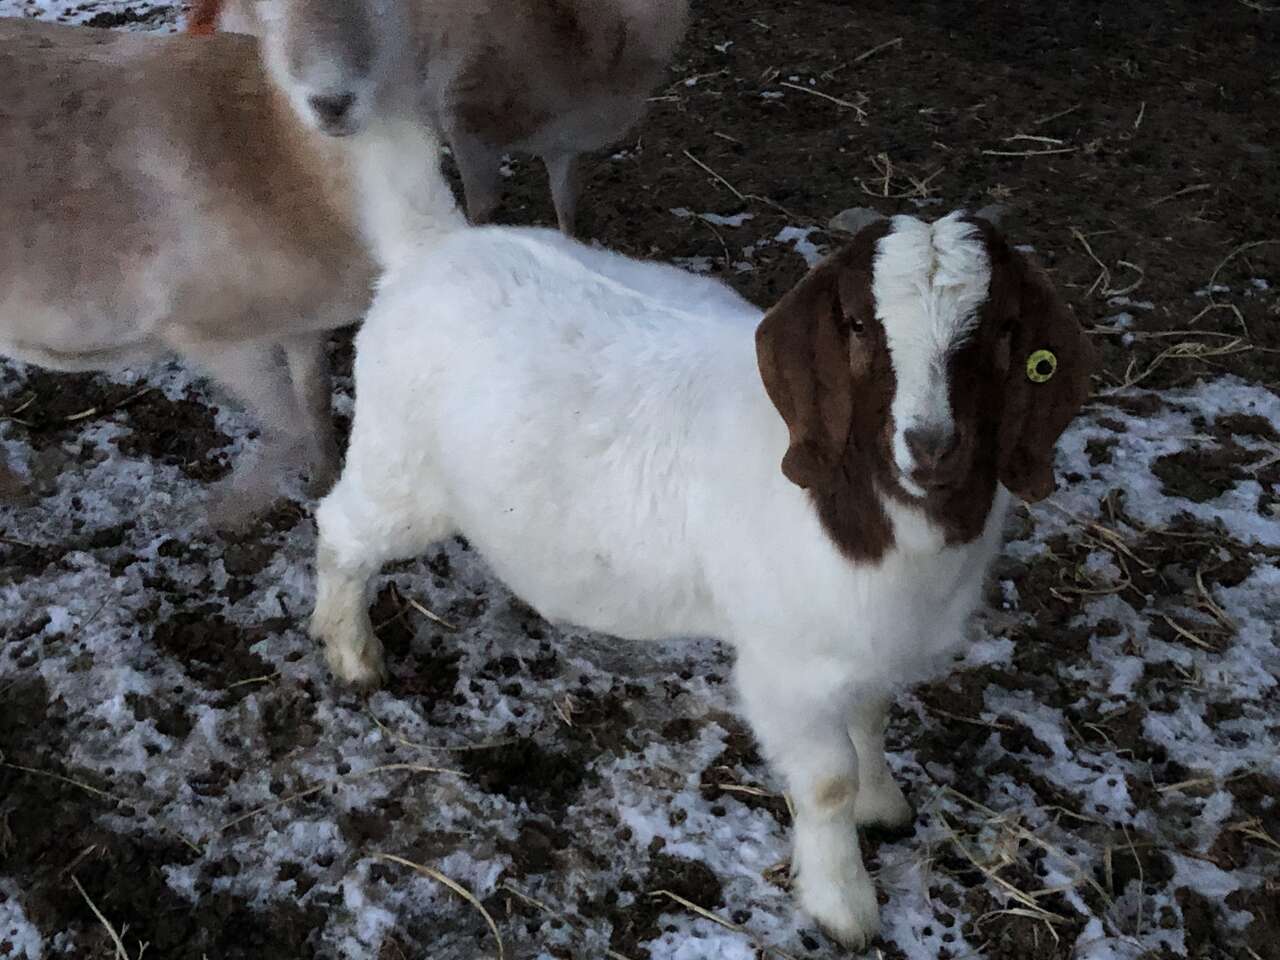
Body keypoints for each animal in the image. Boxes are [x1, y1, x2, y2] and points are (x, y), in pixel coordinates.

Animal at [0, 17, 458, 523]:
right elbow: (289, 428)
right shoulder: (207, 333)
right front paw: (226, 510)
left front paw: (323, 480)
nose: (333, 104)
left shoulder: (302, 324)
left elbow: (314, 401)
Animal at [307, 210, 1096, 945]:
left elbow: (872, 720)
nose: (931, 445)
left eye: (1002, 330)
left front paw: (886, 807)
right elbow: (827, 782)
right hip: (400, 470)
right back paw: (350, 652)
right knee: (341, 530)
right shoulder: (789, 667)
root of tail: (433, 246)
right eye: (858, 324)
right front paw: (843, 905)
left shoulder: (872, 647)